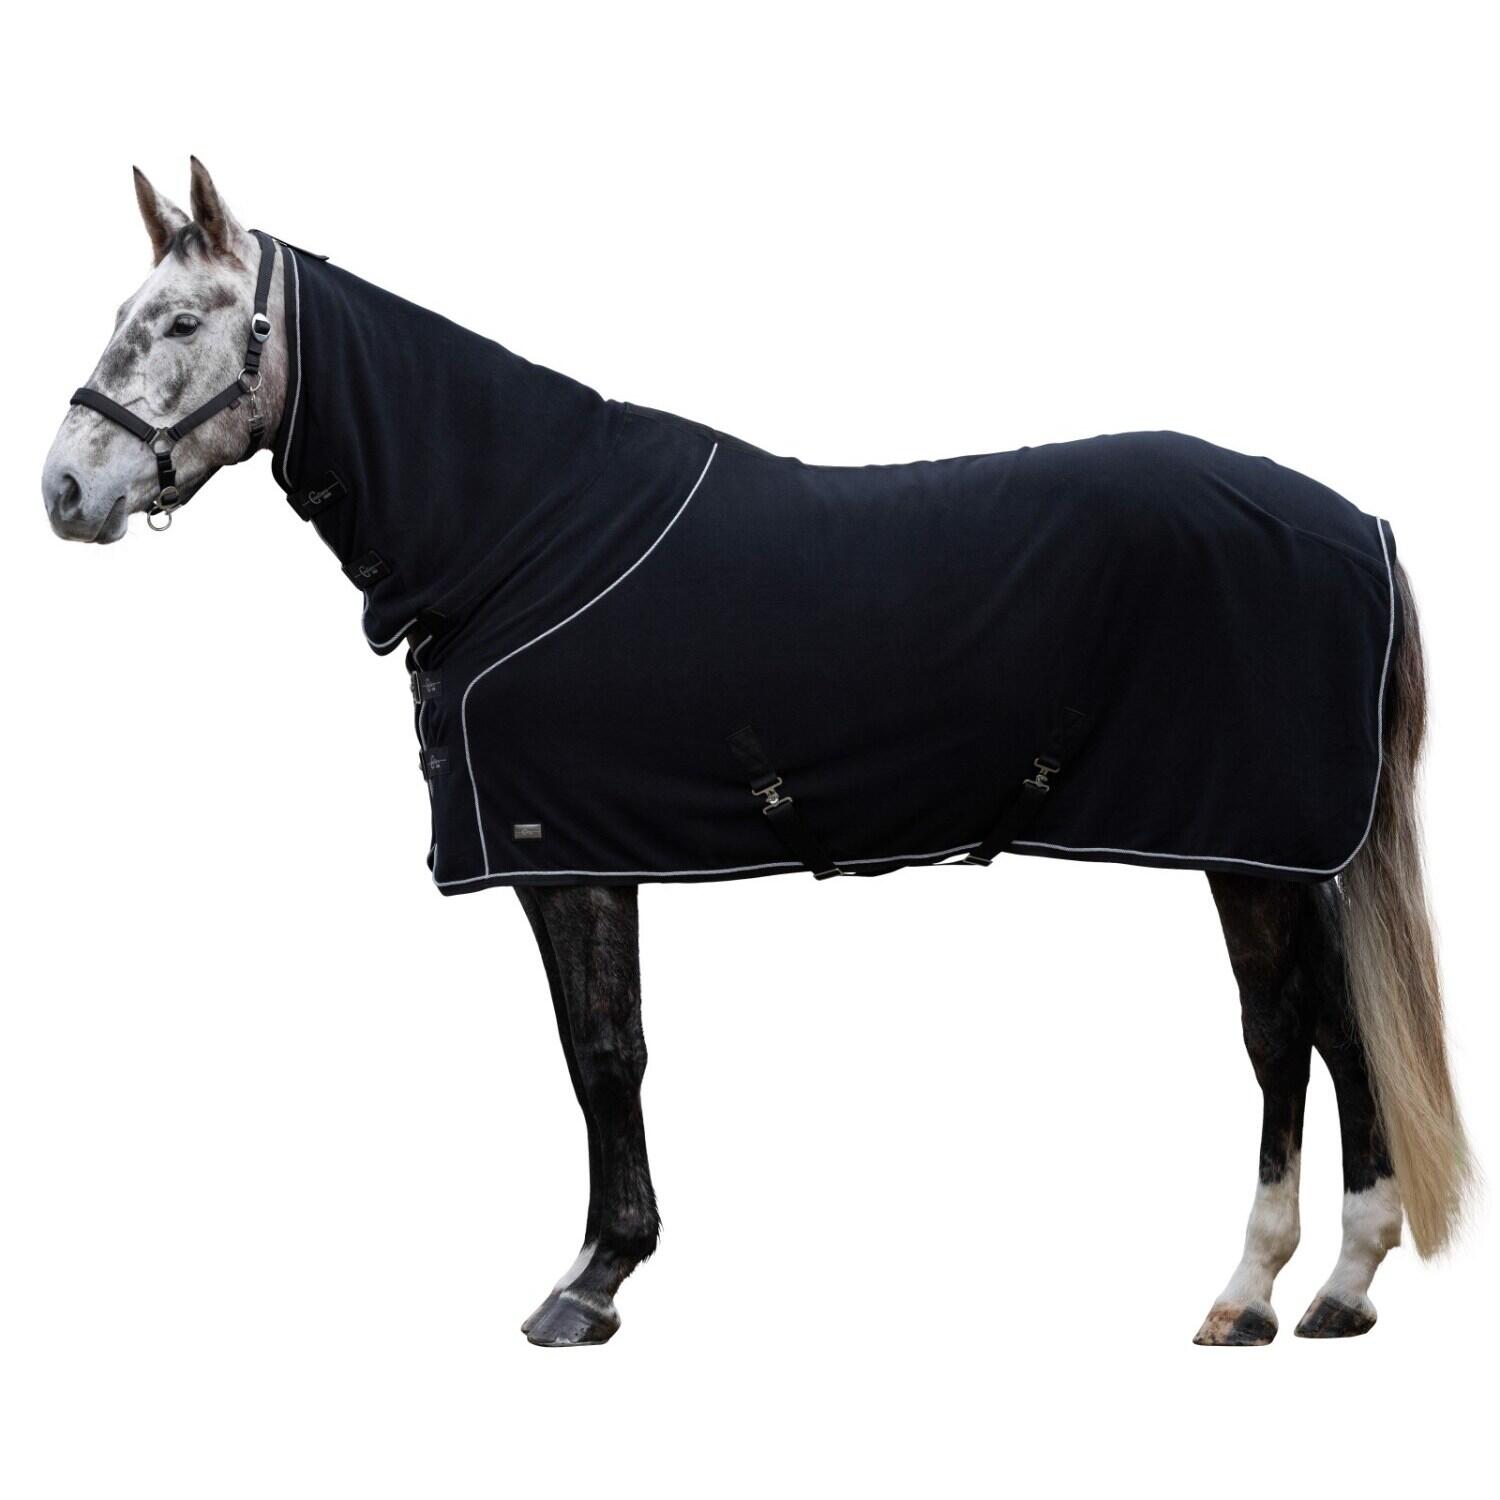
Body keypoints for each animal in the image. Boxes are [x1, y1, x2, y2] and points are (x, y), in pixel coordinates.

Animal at [40, 160, 1471, 1347]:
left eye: (183, 324)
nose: (65, 490)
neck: (522, 533)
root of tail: (1355, 524)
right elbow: (604, 1050)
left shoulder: (565, 857)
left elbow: (600, 1053)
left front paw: (593, 1282)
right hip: (1284, 853)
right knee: (1336, 1029)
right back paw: (1338, 1288)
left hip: (1250, 848)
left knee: (1285, 1034)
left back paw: (1254, 1288)